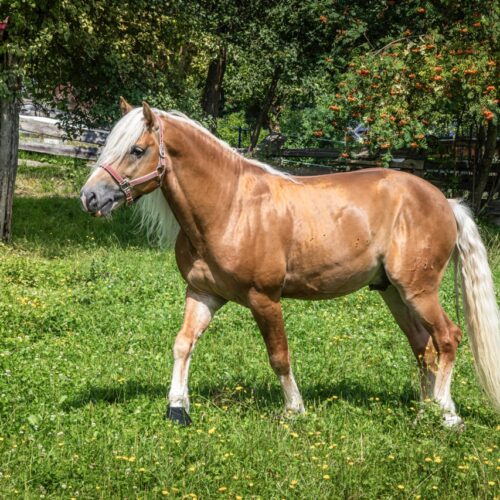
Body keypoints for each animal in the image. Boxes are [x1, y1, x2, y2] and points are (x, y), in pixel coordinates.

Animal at [82, 99, 500, 428]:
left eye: (137, 150)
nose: (90, 197)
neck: (229, 207)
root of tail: (445, 202)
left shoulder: (264, 298)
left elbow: (279, 356)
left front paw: (294, 410)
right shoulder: (202, 293)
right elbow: (183, 344)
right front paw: (177, 408)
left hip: (418, 290)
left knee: (448, 338)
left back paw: (446, 414)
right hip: (393, 293)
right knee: (423, 348)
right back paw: (424, 411)